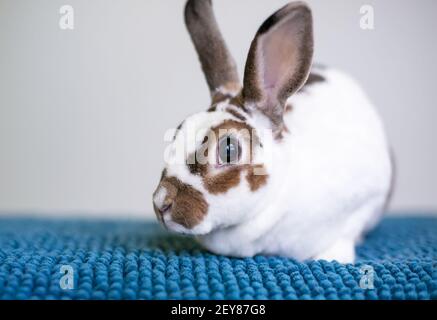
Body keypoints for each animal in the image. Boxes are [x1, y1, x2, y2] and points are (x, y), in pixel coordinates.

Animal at [151, 1, 392, 264]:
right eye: (177, 132)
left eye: (228, 150)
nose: (161, 202)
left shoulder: (366, 196)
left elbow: (346, 231)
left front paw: (332, 257)